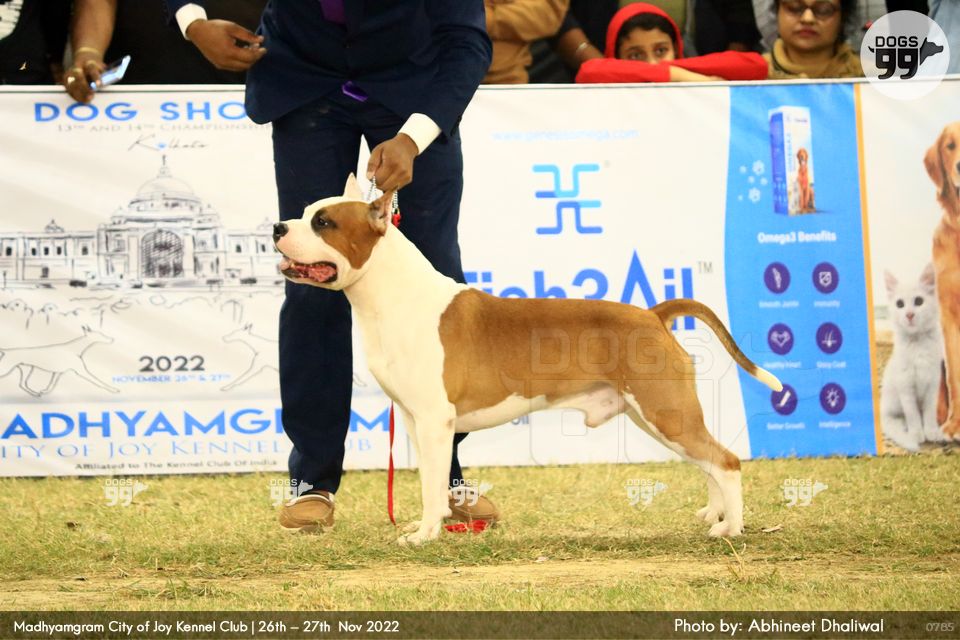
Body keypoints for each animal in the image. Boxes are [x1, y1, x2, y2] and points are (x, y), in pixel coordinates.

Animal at [273, 175, 782, 544]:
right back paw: (715, 516)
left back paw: (731, 528)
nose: (278, 227)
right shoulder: (416, 421)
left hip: (664, 411)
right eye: (304, 213)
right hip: (659, 415)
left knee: (726, 462)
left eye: (324, 223)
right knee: (709, 462)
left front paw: (425, 536)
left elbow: (434, 486)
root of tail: (653, 314)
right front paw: (426, 527)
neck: (392, 294)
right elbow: (429, 483)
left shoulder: (436, 422)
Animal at [880, 264, 948, 452]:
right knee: (895, 420)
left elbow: (929, 413)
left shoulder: (933, 384)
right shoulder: (906, 387)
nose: (909, 314)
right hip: (891, 404)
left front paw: (931, 431)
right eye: (900, 304)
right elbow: (913, 415)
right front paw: (917, 433)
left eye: (918, 301)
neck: (918, 344)